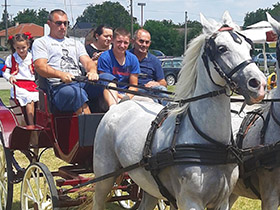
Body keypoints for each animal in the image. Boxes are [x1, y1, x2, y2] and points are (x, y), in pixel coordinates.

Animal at [93, 11, 266, 210]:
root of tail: (119, 105)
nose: (259, 84)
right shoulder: (190, 201)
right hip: (104, 176)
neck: (210, 142)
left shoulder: (222, 201)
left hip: (148, 185)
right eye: (222, 48)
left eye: (250, 48)